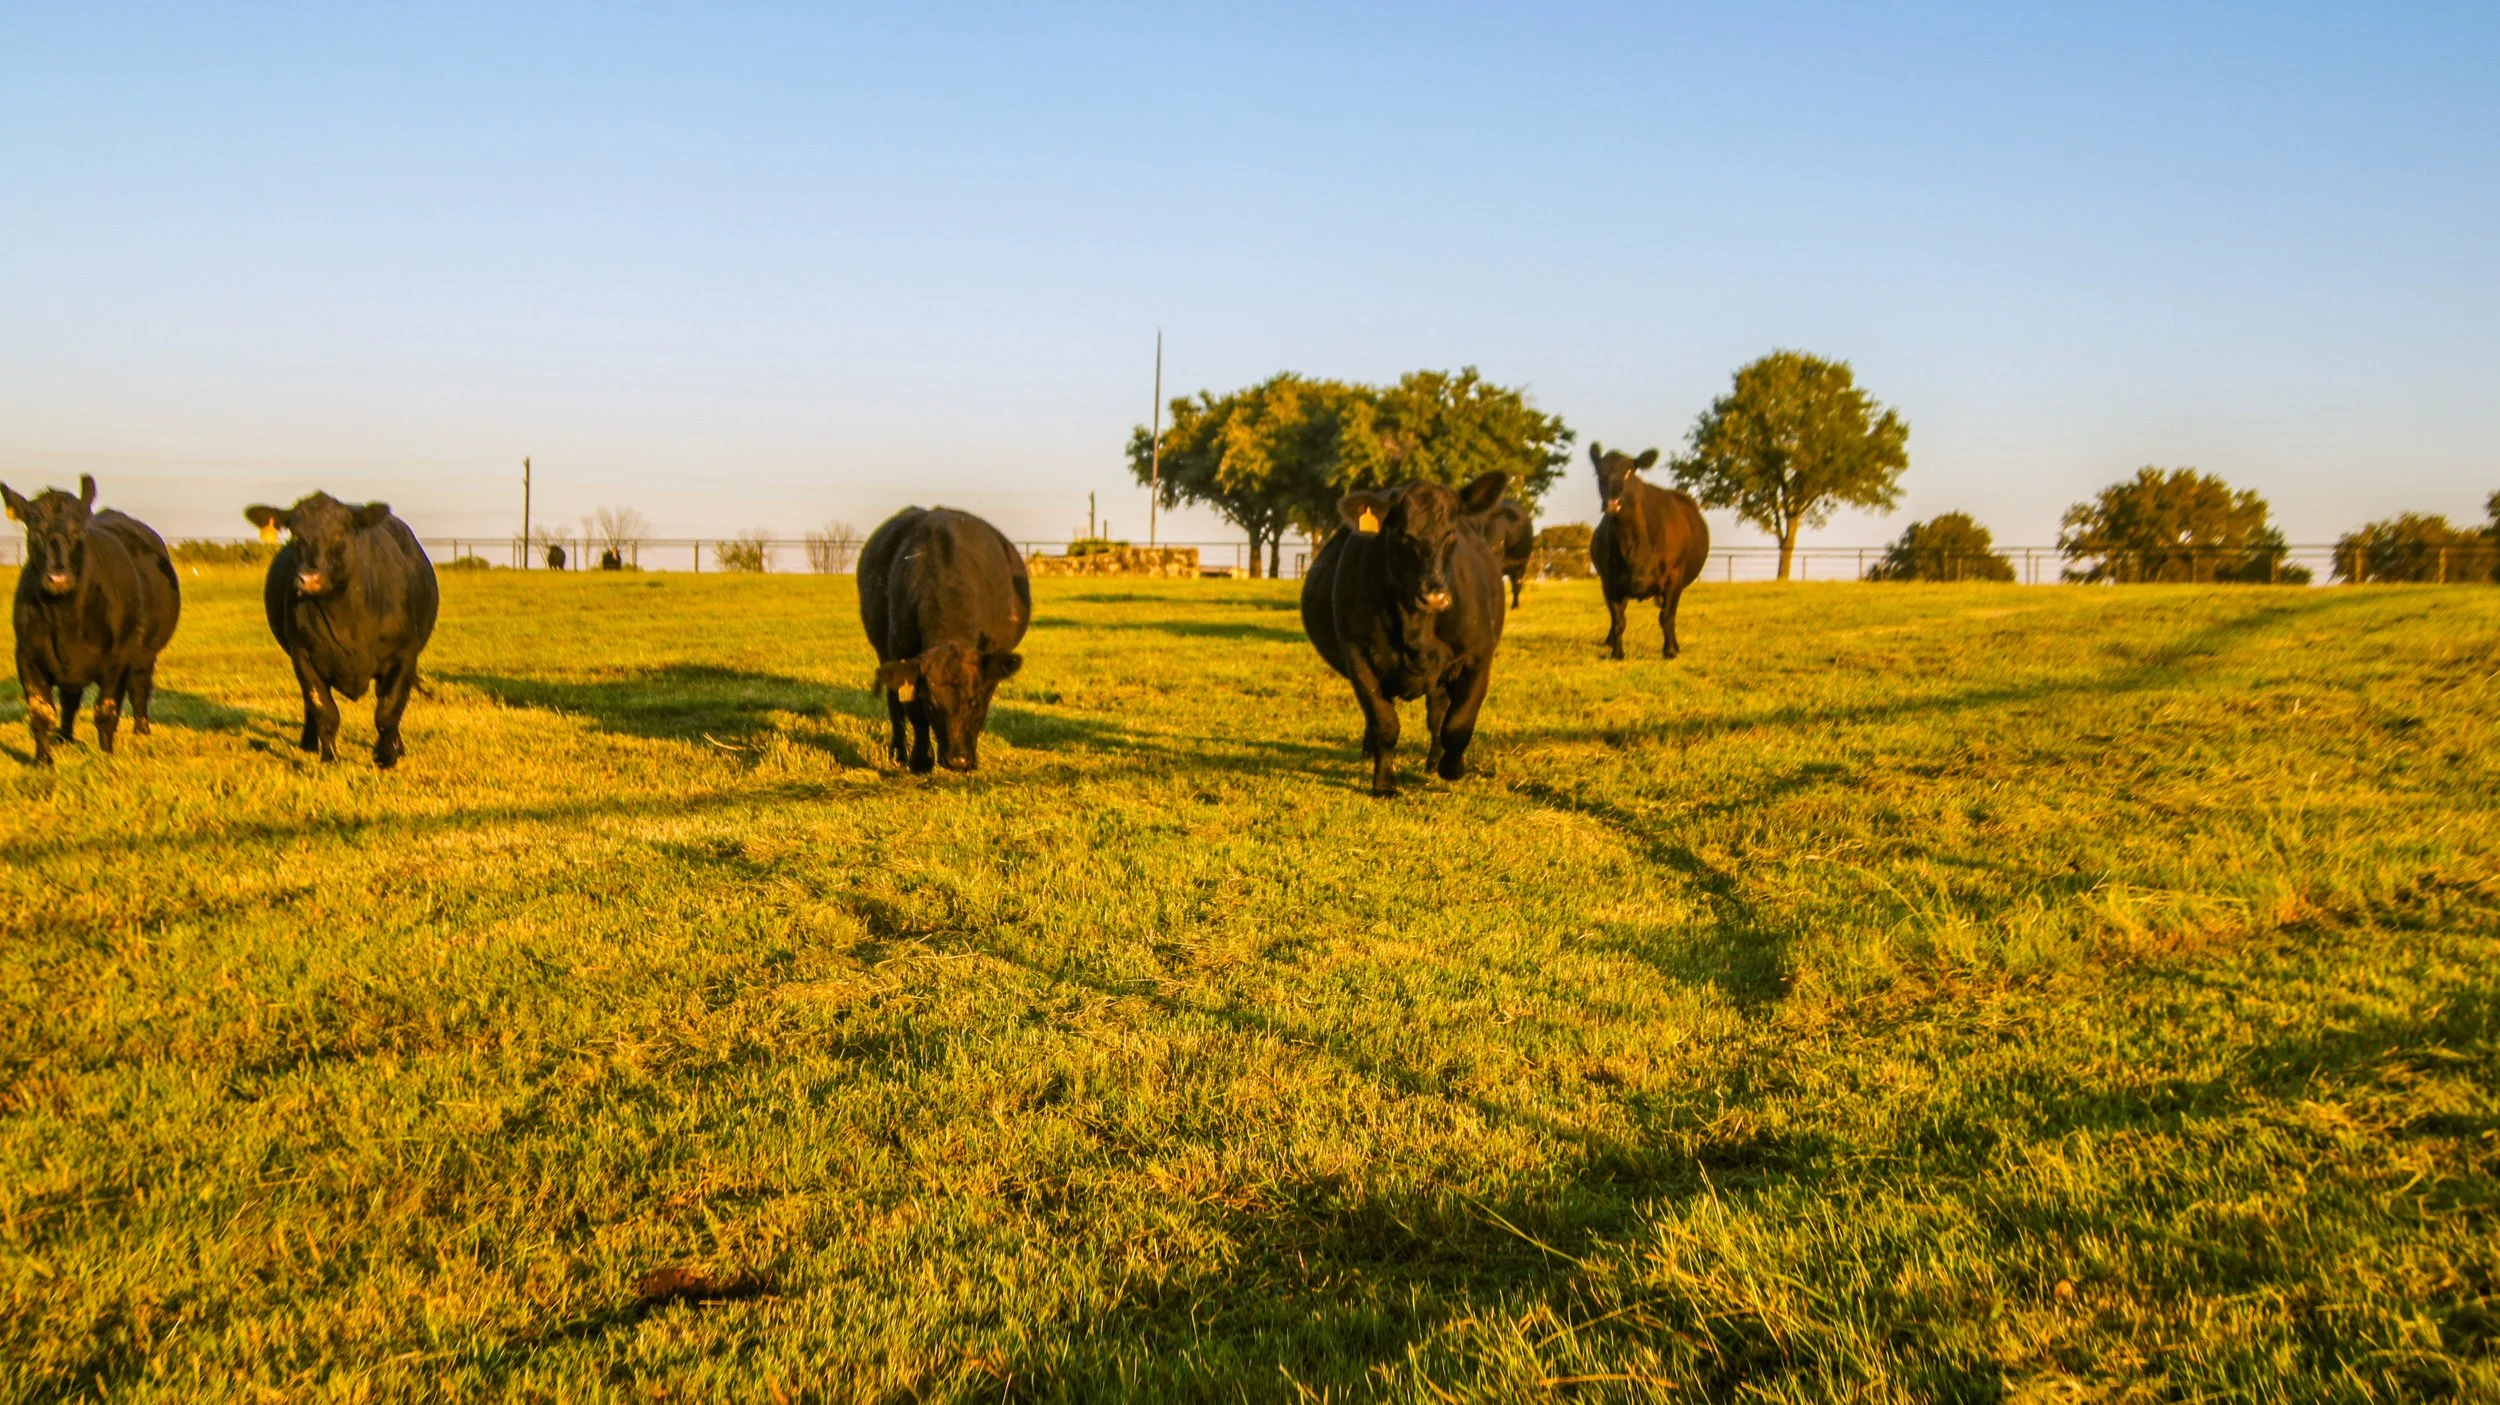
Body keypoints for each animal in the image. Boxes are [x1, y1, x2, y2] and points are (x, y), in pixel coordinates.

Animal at [4, 475, 181, 765]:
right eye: (35, 534)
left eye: (78, 533)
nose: (58, 579)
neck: (65, 620)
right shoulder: (27, 655)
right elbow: (41, 712)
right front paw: (42, 760)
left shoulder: (118, 660)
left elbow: (106, 711)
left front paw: (106, 756)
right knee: (70, 699)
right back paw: (64, 736)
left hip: (145, 654)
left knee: (140, 687)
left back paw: (141, 729)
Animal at [242, 493, 441, 768]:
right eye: (294, 532)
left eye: (341, 531)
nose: (310, 579)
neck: (348, 625)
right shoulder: (303, 655)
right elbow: (324, 709)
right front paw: (329, 758)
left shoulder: (405, 655)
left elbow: (389, 710)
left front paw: (386, 756)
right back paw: (309, 742)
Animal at [857, 507, 1029, 774]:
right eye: (931, 703)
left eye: (972, 701)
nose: (957, 760)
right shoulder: (902, 656)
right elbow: (913, 713)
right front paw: (920, 760)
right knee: (894, 704)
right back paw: (899, 752)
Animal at [1300, 472, 1510, 797]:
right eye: (1400, 535)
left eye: (1452, 533)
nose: (1435, 596)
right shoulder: (1359, 657)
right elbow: (1384, 723)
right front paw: (1384, 783)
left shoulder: (1478, 657)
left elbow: (1458, 724)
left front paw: (1451, 768)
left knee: (1438, 716)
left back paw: (1434, 761)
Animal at [1587, 443, 1710, 660]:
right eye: (1599, 473)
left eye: (1629, 472)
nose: (1612, 504)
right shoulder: (1609, 581)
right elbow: (1619, 620)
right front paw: (1617, 653)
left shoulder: (1674, 577)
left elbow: (1666, 616)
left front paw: (1669, 651)